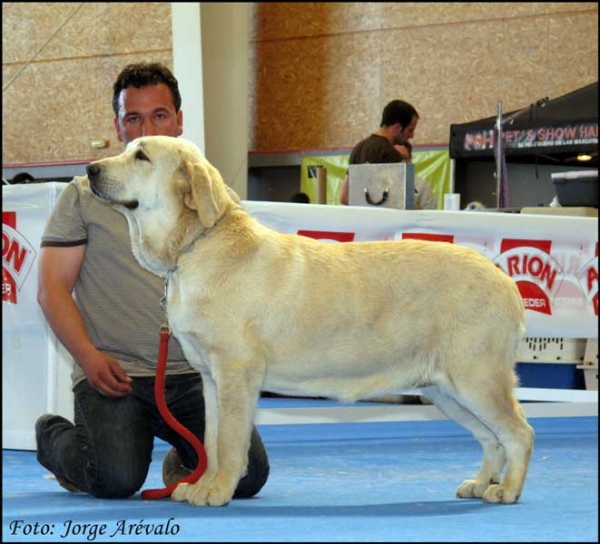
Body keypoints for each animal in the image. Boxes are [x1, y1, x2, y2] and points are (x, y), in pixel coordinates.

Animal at [88, 135, 536, 506]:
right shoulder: (211, 379)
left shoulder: (236, 372)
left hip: (476, 378)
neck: (196, 244)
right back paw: (481, 484)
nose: (90, 169)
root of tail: (504, 279)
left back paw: (508, 490)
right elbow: (212, 442)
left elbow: (230, 443)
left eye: (141, 156)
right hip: (445, 389)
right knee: (491, 438)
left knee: (519, 432)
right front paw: (201, 485)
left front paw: (217, 491)